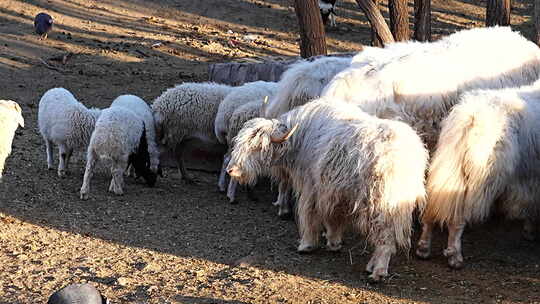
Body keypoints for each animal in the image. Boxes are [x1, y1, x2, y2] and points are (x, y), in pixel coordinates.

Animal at [226, 98, 428, 282]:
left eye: (257, 146)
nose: (231, 170)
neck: (299, 139)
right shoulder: (336, 194)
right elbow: (334, 218)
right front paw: (334, 242)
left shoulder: (311, 189)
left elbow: (310, 215)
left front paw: (307, 245)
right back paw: (371, 266)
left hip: (381, 205)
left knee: (385, 236)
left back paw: (378, 271)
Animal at [420, 80, 540, 268]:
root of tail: (470, 117)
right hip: (480, 179)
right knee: (458, 217)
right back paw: (455, 257)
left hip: (449, 171)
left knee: (431, 211)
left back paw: (423, 248)